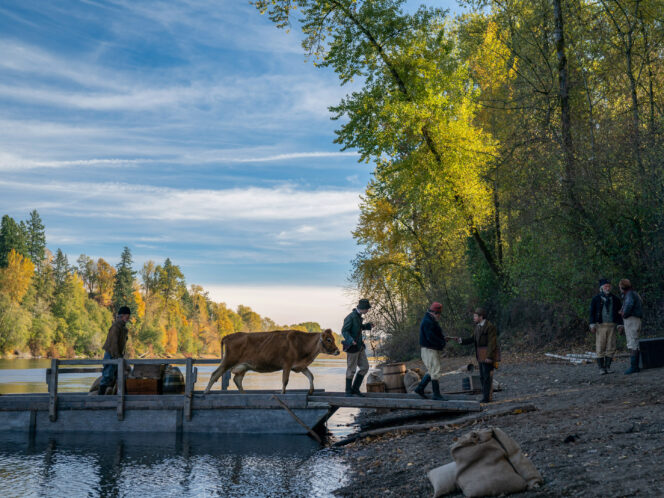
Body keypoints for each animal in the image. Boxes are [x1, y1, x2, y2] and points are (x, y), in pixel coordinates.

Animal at [204, 328, 340, 394]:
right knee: (215, 374)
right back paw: (205, 392)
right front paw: (282, 393)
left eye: (333, 338)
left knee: (237, 380)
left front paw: (311, 390)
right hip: (228, 360)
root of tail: (229, 336)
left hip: (243, 366)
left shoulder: (300, 366)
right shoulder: (287, 364)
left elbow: (311, 376)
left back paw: (244, 393)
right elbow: (285, 380)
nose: (338, 351)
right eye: (328, 339)